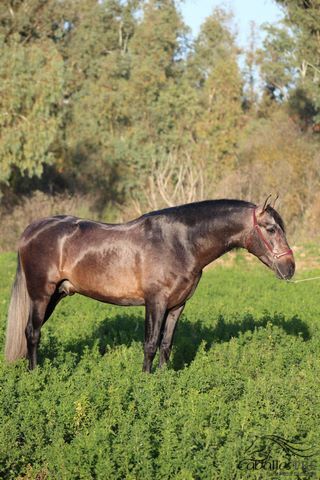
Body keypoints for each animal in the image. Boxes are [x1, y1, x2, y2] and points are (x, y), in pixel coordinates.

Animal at [4, 197, 296, 374]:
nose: (290, 268)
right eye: (271, 229)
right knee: (32, 332)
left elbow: (166, 344)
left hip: (56, 295)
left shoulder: (177, 305)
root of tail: (33, 229)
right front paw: (145, 382)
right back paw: (34, 373)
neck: (179, 243)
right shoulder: (155, 302)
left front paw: (163, 379)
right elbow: (151, 344)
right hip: (41, 295)